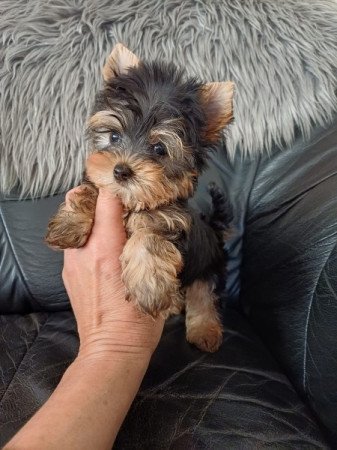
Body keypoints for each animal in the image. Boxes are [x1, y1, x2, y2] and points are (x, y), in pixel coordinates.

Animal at [46, 44, 232, 352]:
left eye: (159, 149)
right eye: (114, 137)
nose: (121, 171)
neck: (131, 202)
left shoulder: (171, 219)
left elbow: (150, 236)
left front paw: (150, 288)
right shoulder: (102, 183)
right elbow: (90, 189)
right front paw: (68, 225)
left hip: (209, 264)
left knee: (203, 293)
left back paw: (204, 330)